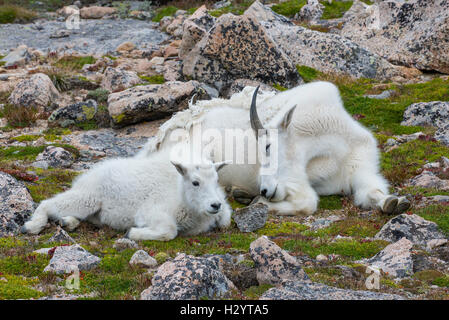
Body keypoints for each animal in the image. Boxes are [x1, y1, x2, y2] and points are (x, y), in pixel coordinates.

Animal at [21, 145, 231, 240]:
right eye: (196, 182)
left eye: (216, 180)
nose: (215, 205)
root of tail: (85, 177)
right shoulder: (151, 211)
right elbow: (169, 230)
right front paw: (133, 232)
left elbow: (225, 220)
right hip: (88, 198)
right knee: (48, 203)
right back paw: (32, 226)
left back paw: (67, 222)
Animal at [139, 81, 410, 216]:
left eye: (268, 146)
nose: (266, 190)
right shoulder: (295, 180)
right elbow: (308, 202)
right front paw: (259, 203)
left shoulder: (360, 167)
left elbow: (372, 191)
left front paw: (394, 203)